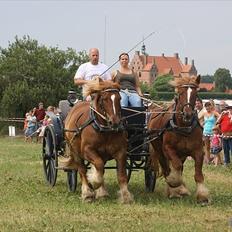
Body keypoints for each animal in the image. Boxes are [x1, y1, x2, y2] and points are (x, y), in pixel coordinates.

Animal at [148, 75, 209, 204]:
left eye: (195, 94)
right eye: (180, 93)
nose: (188, 114)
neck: (183, 127)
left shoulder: (198, 151)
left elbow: (198, 174)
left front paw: (202, 195)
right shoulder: (168, 149)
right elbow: (176, 166)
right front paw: (178, 187)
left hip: (182, 154)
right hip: (159, 150)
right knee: (166, 168)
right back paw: (173, 190)